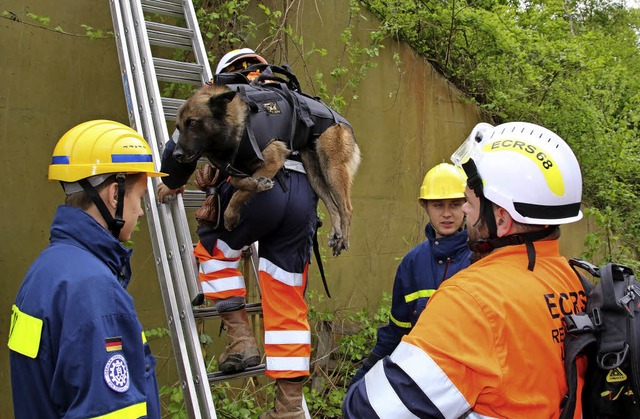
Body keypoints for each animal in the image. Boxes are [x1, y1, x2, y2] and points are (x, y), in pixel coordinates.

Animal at [169, 82, 360, 256]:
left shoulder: (274, 158)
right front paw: (255, 183)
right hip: (314, 175)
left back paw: (343, 239)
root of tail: (344, 124)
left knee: (347, 208)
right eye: (178, 127)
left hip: (332, 169)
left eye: (192, 123)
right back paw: (336, 233)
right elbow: (238, 180)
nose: (176, 155)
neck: (237, 124)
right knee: (333, 206)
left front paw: (232, 213)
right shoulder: (238, 166)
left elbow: (238, 192)